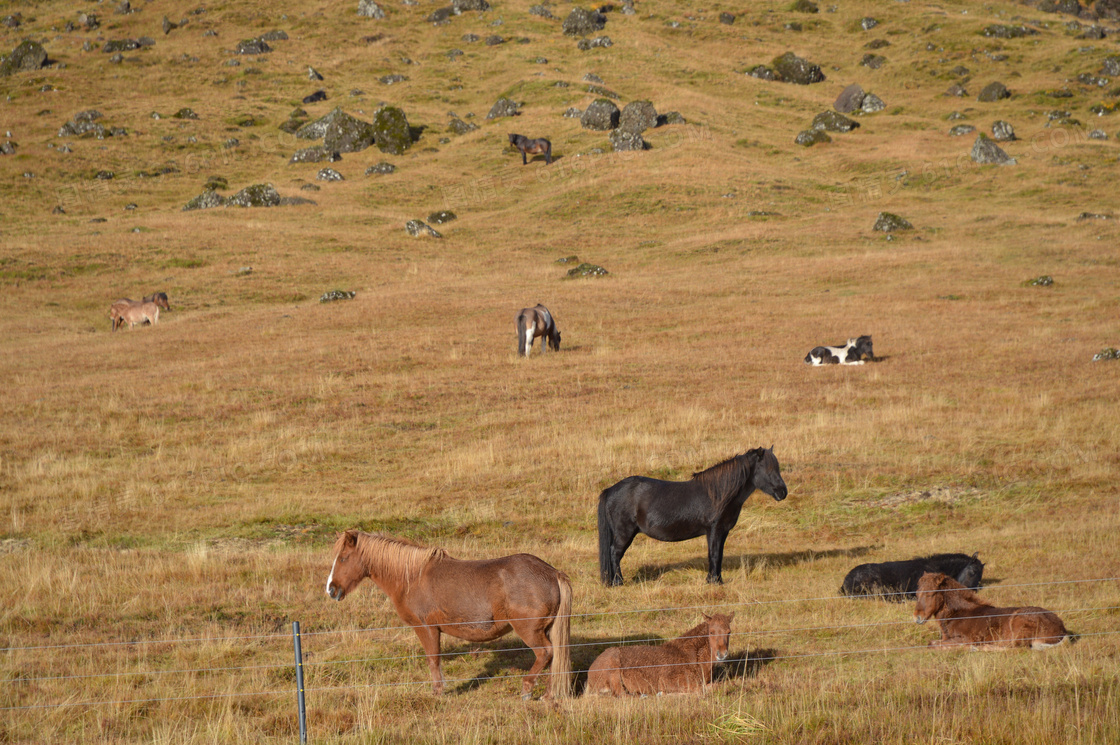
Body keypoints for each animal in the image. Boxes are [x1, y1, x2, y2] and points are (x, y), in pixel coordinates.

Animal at [322, 528, 568, 699]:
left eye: (343, 558)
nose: (331, 589)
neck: (411, 578)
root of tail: (552, 572)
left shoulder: (426, 628)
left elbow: (433, 659)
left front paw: (438, 691)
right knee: (554, 657)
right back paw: (548, 694)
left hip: (529, 630)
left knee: (545, 653)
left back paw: (527, 690)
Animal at [586, 613, 734, 694]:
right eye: (711, 632)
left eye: (729, 632)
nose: (721, 654)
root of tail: (590, 672)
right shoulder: (668, 682)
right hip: (614, 674)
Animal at [595, 443, 788, 582]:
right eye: (768, 469)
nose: (783, 492)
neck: (718, 493)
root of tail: (610, 490)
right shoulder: (714, 530)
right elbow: (714, 554)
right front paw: (713, 581)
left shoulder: (723, 532)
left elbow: (719, 555)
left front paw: (717, 579)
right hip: (624, 533)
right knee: (615, 553)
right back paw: (618, 582)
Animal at [913, 571, 1070, 649]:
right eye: (917, 593)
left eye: (930, 594)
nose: (917, 618)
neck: (958, 614)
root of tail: (1061, 628)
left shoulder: (965, 638)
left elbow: (932, 644)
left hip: (1018, 624)